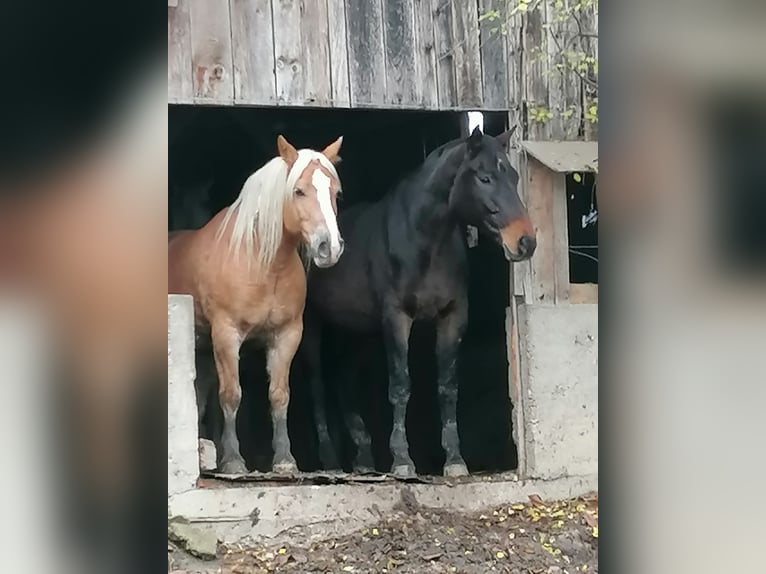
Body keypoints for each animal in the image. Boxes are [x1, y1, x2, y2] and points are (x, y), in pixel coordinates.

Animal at [172, 136, 346, 476]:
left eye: (336, 192)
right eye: (299, 191)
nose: (328, 247)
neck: (263, 264)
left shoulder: (287, 335)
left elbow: (279, 396)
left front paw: (284, 460)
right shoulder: (226, 335)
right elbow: (231, 396)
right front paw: (233, 461)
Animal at [304, 128, 536, 480]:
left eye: (513, 175)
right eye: (484, 178)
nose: (526, 242)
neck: (425, 239)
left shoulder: (453, 316)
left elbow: (448, 387)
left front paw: (454, 460)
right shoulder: (396, 318)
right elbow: (400, 385)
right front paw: (402, 459)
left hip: (356, 330)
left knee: (341, 379)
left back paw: (363, 455)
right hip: (314, 324)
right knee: (317, 383)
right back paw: (330, 458)